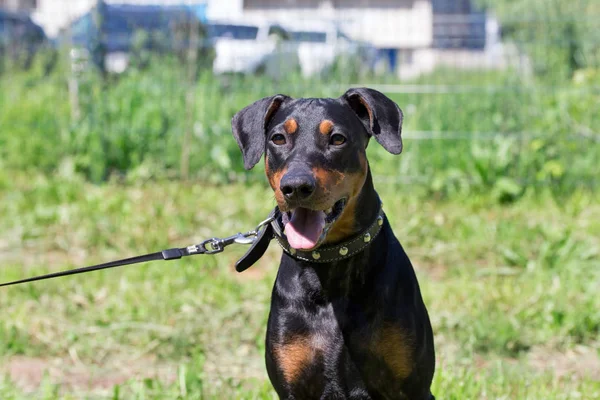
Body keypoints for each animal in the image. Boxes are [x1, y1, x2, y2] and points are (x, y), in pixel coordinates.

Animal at [232, 89, 434, 398]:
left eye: (337, 138)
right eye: (278, 138)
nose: (296, 187)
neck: (330, 264)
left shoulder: (414, 387)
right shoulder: (291, 387)